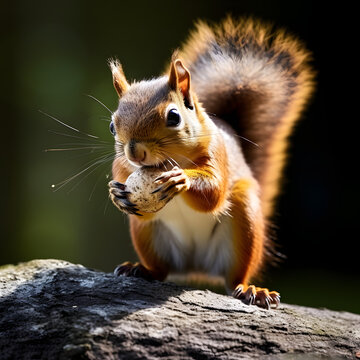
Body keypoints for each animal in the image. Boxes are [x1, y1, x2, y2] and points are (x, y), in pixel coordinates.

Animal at [107, 16, 316, 310]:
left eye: (174, 117)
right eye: (113, 126)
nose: (135, 153)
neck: (172, 159)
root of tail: (196, 266)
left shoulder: (218, 154)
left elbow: (214, 194)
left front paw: (181, 178)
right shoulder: (122, 168)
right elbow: (137, 203)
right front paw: (117, 194)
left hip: (244, 221)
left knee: (234, 278)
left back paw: (251, 290)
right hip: (148, 236)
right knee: (161, 269)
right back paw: (141, 269)